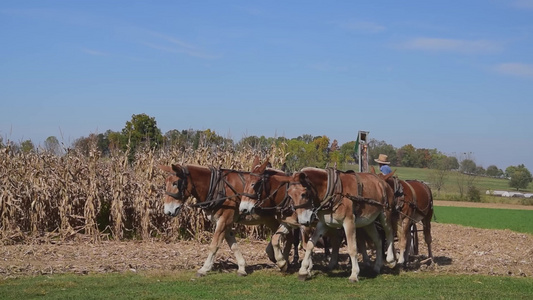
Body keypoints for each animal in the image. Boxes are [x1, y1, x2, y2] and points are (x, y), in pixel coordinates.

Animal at [158, 161, 290, 278]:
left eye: (176, 183)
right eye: (165, 183)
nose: (168, 211)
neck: (218, 187)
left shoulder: (224, 220)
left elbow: (214, 245)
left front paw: (204, 269)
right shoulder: (225, 222)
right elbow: (233, 245)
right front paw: (242, 268)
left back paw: (283, 260)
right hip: (269, 218)